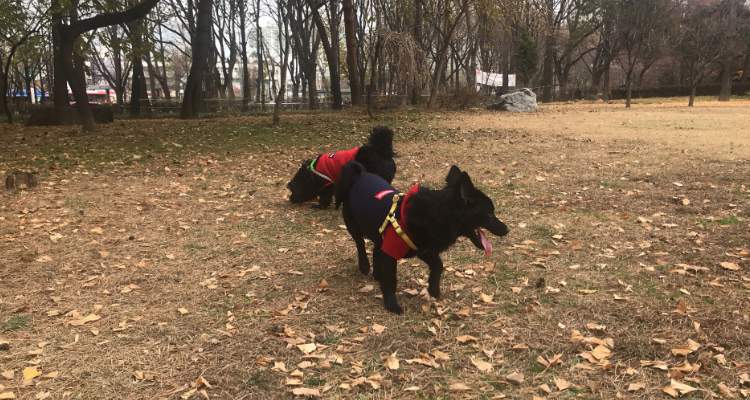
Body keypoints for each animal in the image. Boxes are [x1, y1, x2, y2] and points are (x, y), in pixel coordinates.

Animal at [340, 161, 512, 314]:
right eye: (489, 214)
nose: (507, 229)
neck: (436, 214)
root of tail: (361, 174)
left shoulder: (422, 249)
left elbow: (438, 264)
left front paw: (433, 289)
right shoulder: (393, 250)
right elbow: (391, 280)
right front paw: (391, 305)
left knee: (376, 249)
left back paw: (377, 274)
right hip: (353, 225)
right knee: (360, 244)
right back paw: (365, 266)